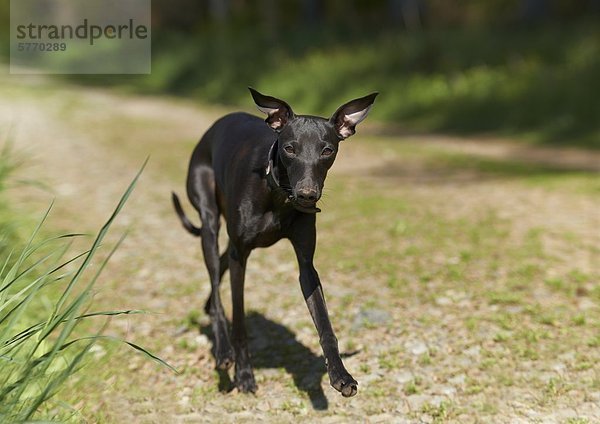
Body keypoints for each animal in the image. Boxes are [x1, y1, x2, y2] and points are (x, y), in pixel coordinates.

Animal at [173, 88, 378, 396]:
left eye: (327, 150)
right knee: (216, 280)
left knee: (219, 270)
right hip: (209, 219)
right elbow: (239, 321)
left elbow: (325, 325)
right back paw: (223, 352)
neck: (278, 194)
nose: (307, 195)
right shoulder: (241, 256)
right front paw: (244, 374)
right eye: (290, 148)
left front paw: (340, 375)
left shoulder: (306, 264)